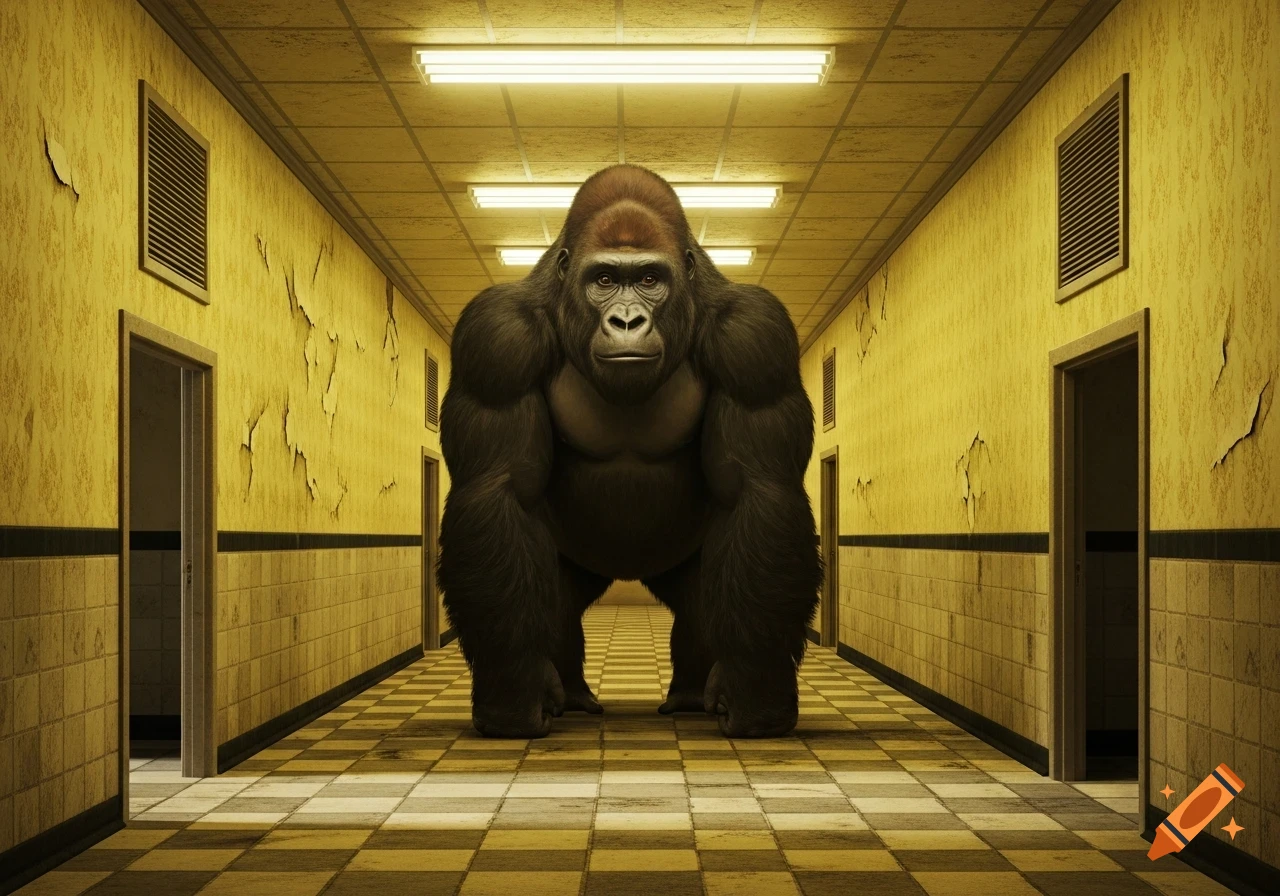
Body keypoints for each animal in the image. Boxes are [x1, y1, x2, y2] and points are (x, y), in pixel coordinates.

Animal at [438, 164, 822, 739]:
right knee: (550, 596)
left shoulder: (756, 337)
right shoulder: (496, 338)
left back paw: (690, 695)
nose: (625, 321)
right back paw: (572, 695)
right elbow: (497, 489)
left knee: (703, 599)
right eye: (603, 280)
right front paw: (514, 688)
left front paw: (756, 688)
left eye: (648, 280)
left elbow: (759, 490)